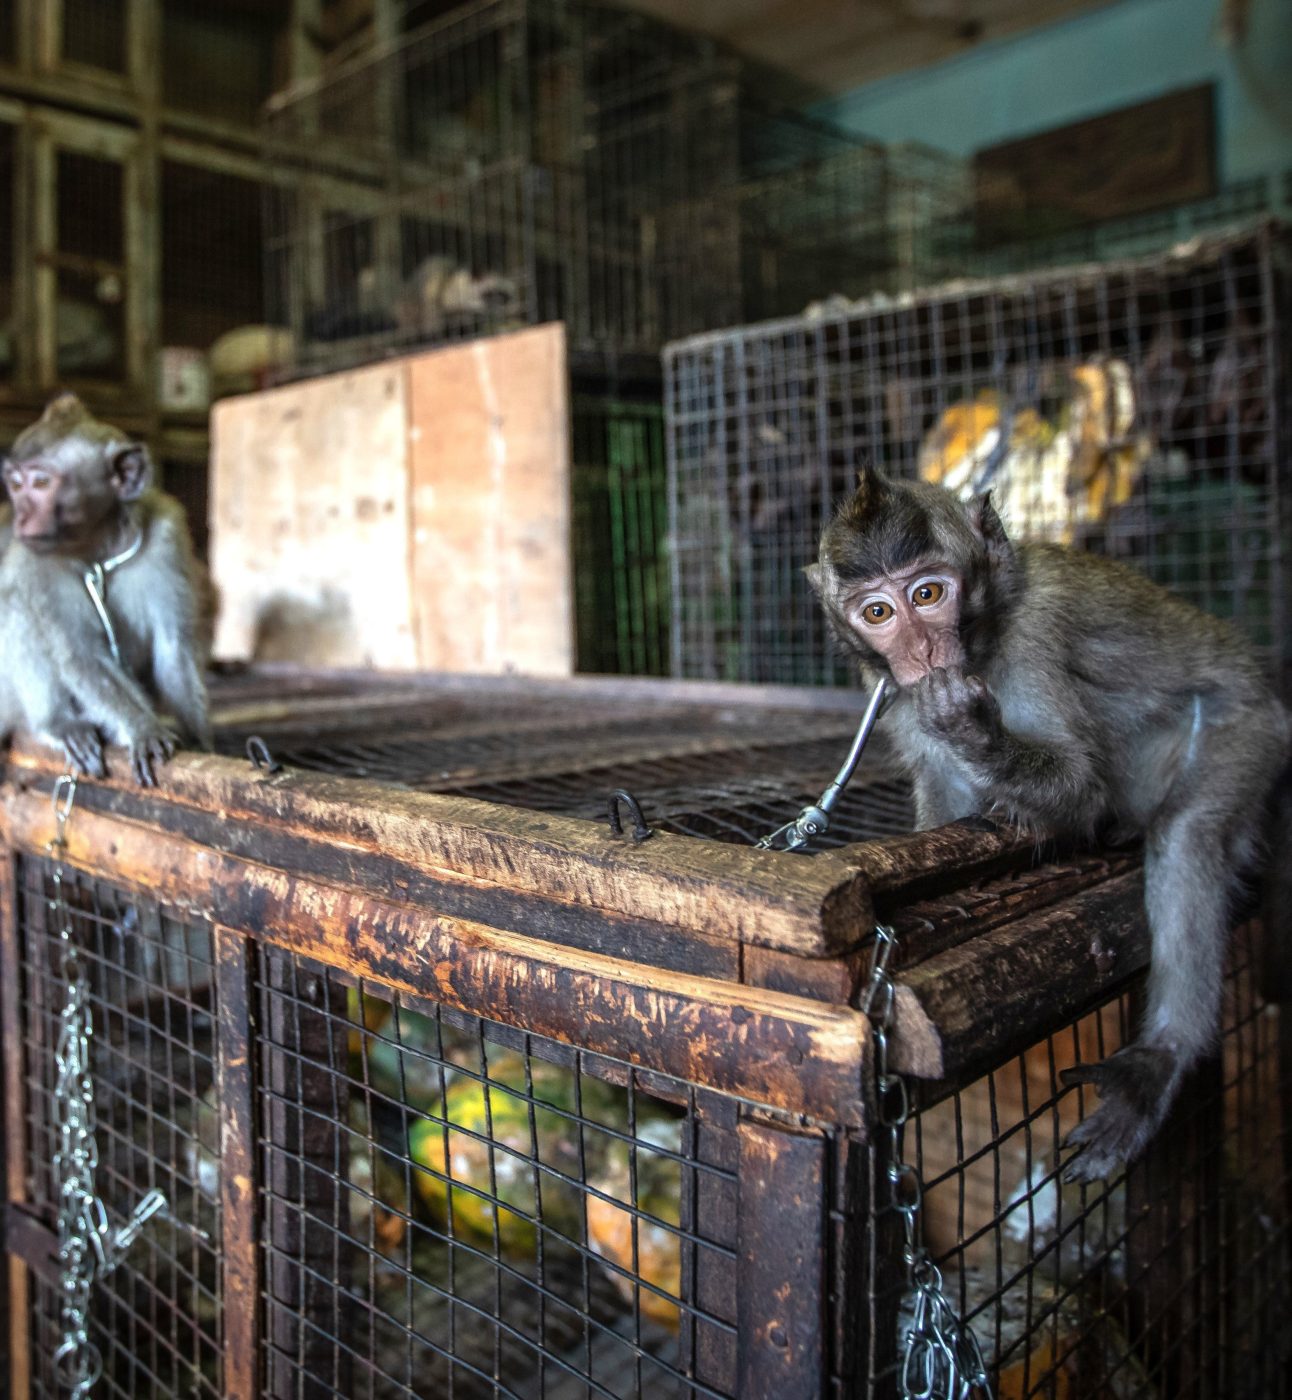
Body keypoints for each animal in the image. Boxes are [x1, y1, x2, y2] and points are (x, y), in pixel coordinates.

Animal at [0, 394, 211, 789]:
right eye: (16, 486)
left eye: (41, 483)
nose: (20, 518)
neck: (100, 547)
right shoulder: (35, 560)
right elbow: (79, 654)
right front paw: (143, 727)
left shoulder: (166, 536)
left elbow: (173, 647)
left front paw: (202, 741)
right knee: (14, 604)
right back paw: (57, 722)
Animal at [811, 470, 1287, 1181]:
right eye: (877, 613)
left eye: (928, 594)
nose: (922, 652)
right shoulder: (893, 691)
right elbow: (947, 810)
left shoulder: (1033, 638)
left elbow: (1081, 789)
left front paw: (974, 729)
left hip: (1251, 730)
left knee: (1188, 833)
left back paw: (1163, 1054)